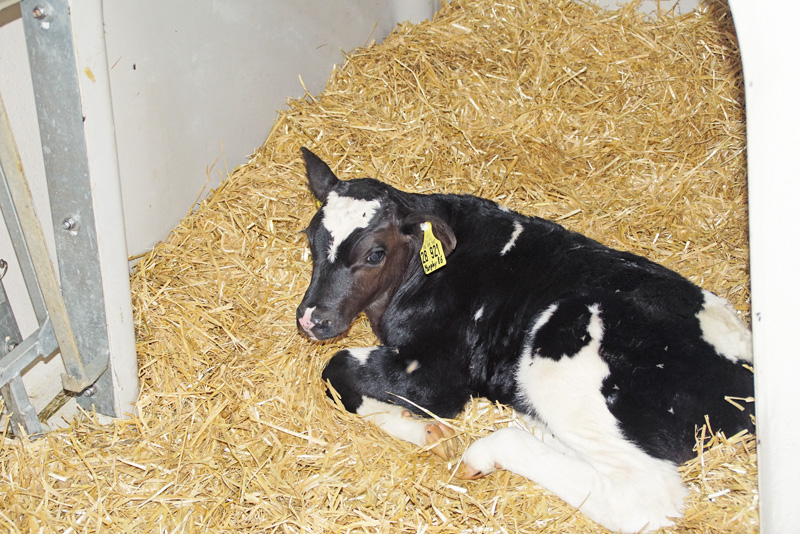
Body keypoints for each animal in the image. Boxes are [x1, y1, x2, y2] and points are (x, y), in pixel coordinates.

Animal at [296, 149, 752, 532]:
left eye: (375, 254)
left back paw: (487, 451)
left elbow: (337, 369)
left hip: (562, 354)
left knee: (645, 493)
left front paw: (425, 431)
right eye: (311, 239)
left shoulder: (435, 376)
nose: (310, 319)